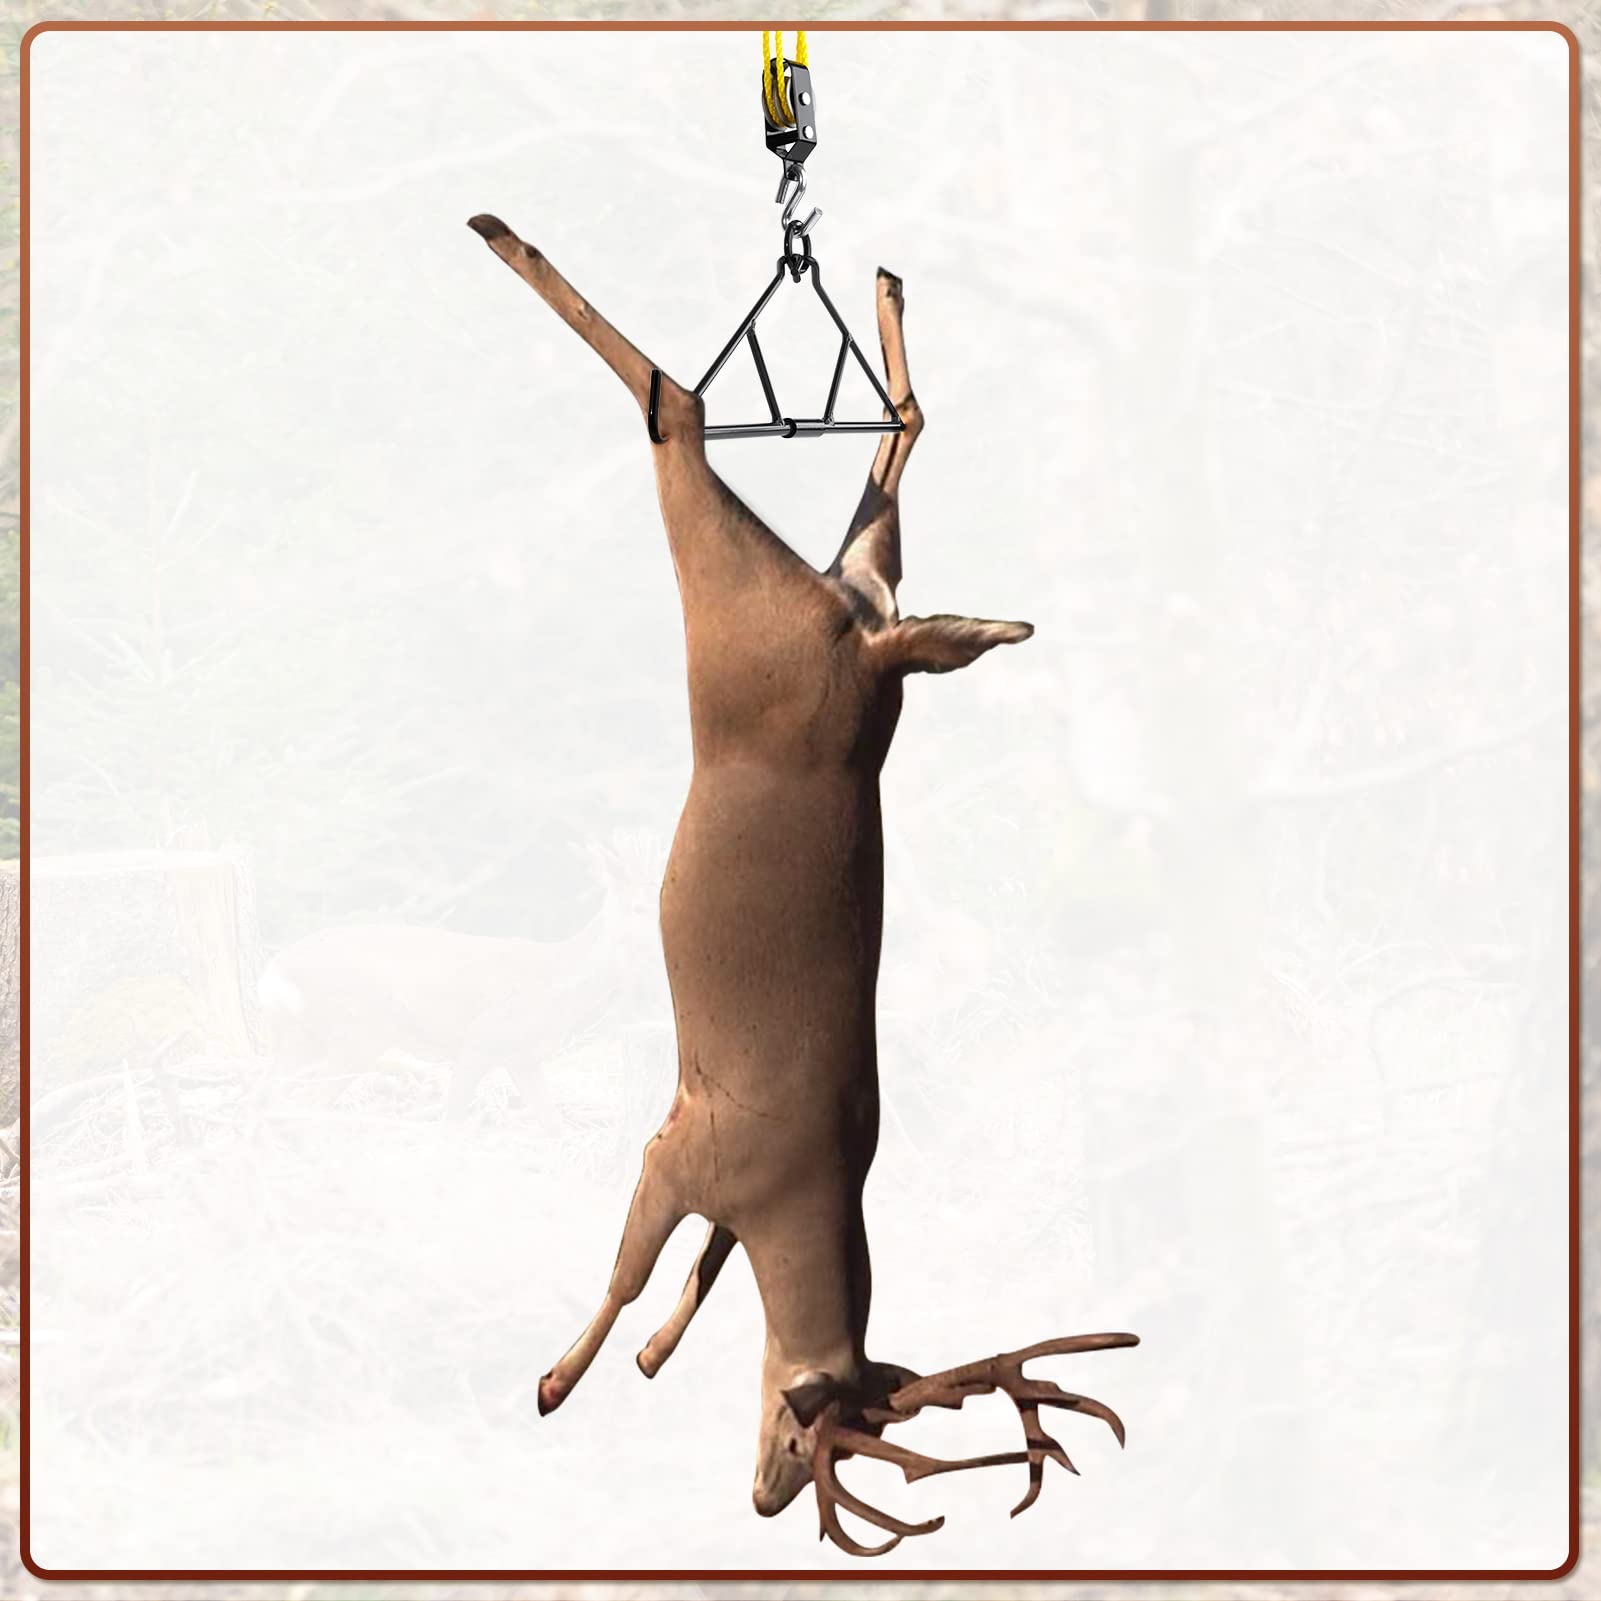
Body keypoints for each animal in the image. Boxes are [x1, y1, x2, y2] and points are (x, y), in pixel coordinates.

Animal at [469, 211, 1138, 1556]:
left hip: (806, 613)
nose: (769, 1495)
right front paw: (558, 1378)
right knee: (681, 407)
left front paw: (640, 1359)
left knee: (822, 449)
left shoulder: (697, 1161)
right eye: (818, 1424)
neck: (806, 1185)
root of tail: (867, 645)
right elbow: (634, 1266)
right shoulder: (681, 1148)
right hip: (757, 613)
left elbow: (693, 1266)